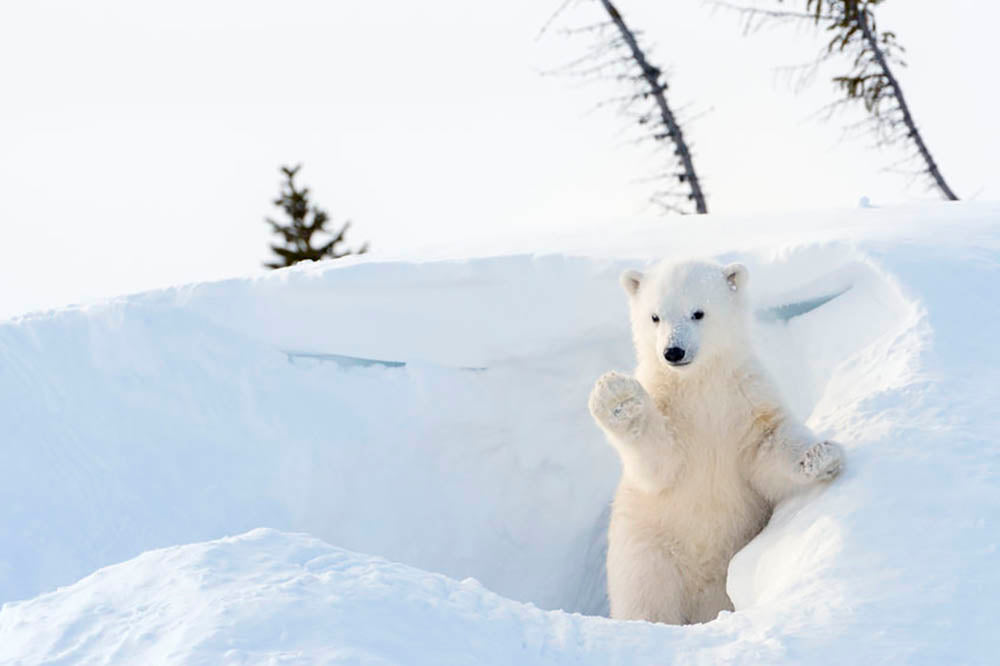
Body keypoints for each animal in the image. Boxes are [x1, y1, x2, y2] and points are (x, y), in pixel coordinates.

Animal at [589, 259, 844, 625]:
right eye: (655, 316)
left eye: (698, 312)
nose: (673, 351)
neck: (699, 384)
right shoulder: (669, 408)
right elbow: (659, 463)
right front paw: (617, 398)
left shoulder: (745, 399)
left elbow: (767, 447)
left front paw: (821, 455)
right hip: (648, 552)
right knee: (647, 600)